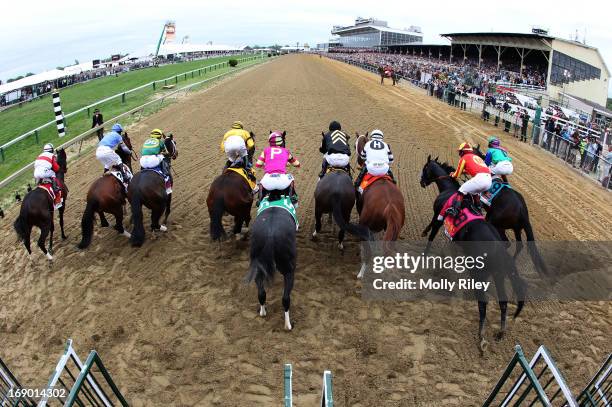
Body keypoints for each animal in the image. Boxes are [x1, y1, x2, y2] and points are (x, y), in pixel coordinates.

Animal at [245, 194, 296, 332]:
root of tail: (270, 234)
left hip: (258, 266)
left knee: (261, 293)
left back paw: (262, 312)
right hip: (288, 269)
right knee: (285, 299)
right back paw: (288, 325)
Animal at [354, 132, 406, 278]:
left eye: (355, 144)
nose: (359, 160)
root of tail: (390, 207)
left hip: (365, 224)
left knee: (369, 253)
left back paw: (361, 273)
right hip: (395, 231)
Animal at [420, 155, 524, 350]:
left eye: (425, 168)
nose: (421, 182)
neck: (450, 190)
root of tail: (500, 251)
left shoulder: (439, 217)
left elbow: (431, 234)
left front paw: (423, 254)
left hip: (480, 274)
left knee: (483, 304)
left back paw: (481, 336)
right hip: (498, 274)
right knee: (503, 303)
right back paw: (500, 332)